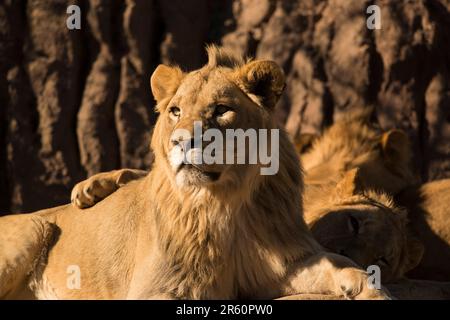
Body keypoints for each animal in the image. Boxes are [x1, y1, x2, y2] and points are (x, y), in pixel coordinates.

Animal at [0, 45, 388, 300]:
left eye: (221, 110)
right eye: (175, 111)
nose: (181, 141)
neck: (225, 204)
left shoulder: (279, 265)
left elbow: (339, 264)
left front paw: (370, 289)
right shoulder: (159, 287)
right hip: (33, 230)